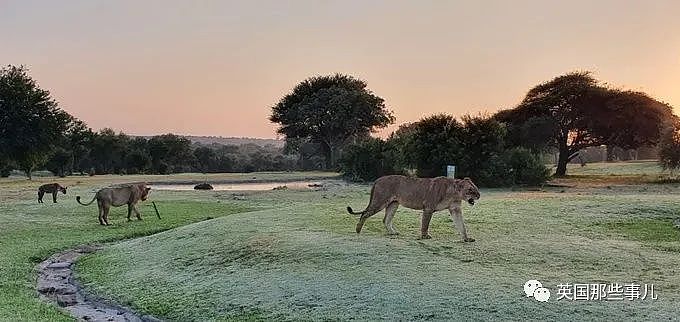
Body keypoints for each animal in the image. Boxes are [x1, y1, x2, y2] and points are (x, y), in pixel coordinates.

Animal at [348, 176, 480, 242]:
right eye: (470, 190)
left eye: (476, 188)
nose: (478, 195)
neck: (454, 194)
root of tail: (377, 180)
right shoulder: (428, 208)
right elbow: (425, 224)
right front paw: (425, 236)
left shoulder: (455, 209)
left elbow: (461, 225)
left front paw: (466, 238)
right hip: (380, 201)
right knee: (364, 214)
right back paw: (358, 230)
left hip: (393, 204)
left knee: (386, 219)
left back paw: (393, 233)